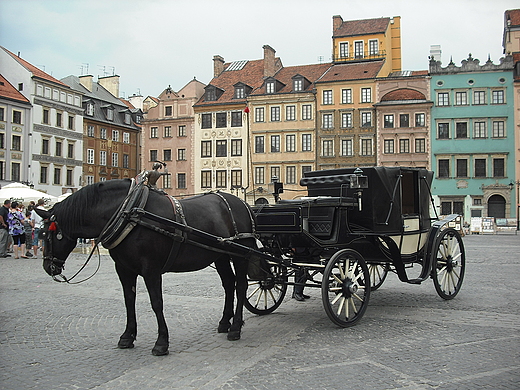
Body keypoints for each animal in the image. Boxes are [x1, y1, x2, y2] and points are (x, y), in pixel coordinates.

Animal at [35, 178, 256, 354]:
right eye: (43, 233)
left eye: (49, 234)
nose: (48, 267)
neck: (129, 212)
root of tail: (242, 203)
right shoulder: (123, 269)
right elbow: (129, 300)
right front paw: (127, 336)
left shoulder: (151, 270)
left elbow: (157, 303)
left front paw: (161, 342)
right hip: (220, 255)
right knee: (229, 284)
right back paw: (225, 322)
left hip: (241, 255)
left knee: (241, 286)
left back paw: (236, 327)